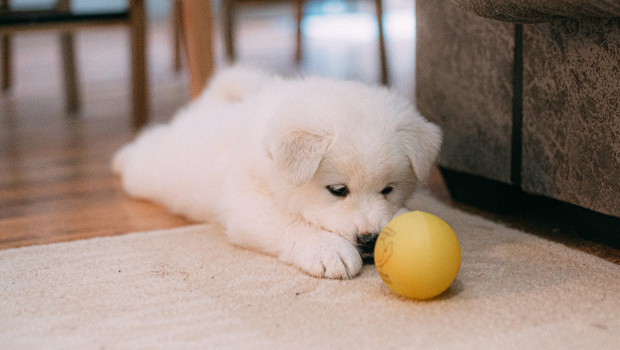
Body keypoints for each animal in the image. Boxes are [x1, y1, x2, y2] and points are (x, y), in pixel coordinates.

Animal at [111, 66, 440, 278]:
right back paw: (121, 158)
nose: (370, 239)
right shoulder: (247, 205)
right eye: (338, 190)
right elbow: (289, 223)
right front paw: (329, 250)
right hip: (153, 171)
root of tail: (206, 106)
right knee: (144, 147)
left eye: (388, 189)